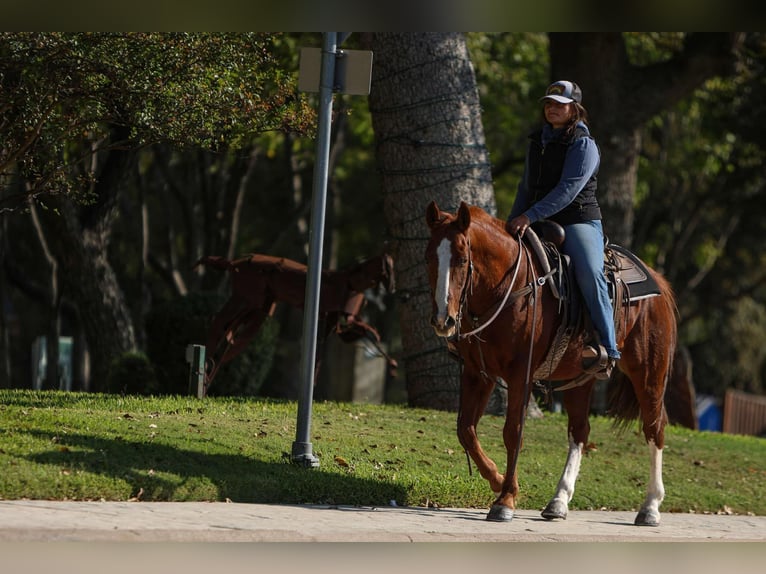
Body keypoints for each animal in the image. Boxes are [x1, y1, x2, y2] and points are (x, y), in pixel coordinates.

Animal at [194, 254, 396, 398]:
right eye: (389, 269)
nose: (393, 288)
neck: (350, 281)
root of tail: (233, 263)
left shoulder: (336, 321)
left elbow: (357, 333)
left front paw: (391, 361)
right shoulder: (337, 319)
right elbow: (363, 331)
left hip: (260, 306)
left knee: (229, 332)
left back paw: (207, 376)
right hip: (247, 298)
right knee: (220, 323)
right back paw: (205, 373)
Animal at [424, 201, 680, 528]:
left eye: (461, 258)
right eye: (429, 257)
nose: (443, 319)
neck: (509, 286)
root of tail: (658, 281)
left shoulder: (520, 374)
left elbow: (513, 431)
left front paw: (506, 499)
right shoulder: (477, 374)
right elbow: (465, 430)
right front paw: (497, 480)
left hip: (648, 373)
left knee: (654, 427)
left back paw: (650, 507)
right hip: (582, 378)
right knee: (580, 431)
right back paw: (558, 501)